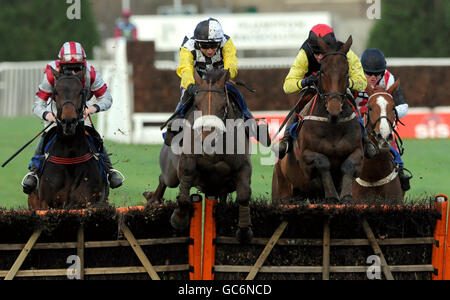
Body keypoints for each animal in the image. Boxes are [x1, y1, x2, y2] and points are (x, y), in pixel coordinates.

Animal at [28, 68, 108, 209]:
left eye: (81, 92)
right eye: (56, 92)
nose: (69, 122)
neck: (70, 158)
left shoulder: (88, 202)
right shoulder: (46, 204)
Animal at [147, 69, 253, 243]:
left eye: (223, 105)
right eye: (196, 104)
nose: (206, 139)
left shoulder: (243, 166)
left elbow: (244, 195)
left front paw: (244, 231)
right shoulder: (186, 162)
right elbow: (184, 194)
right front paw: (178, 219)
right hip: (170, 172)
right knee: (164, 179)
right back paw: (153, 199)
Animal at [270, 35, 366, 204]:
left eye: (346, 71)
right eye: (322, 71)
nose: (334, 108)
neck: (332, 126)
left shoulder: (358, 153)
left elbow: (348, 165)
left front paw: (346, 195)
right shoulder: (306, 157)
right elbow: (323, 162)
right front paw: (332, 195)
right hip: (281, 192)